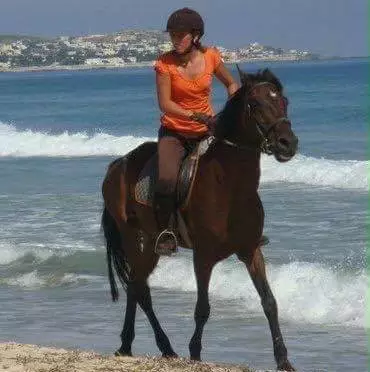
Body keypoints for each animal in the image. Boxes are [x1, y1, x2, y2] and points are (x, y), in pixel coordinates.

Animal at [102, 65, 300, 370]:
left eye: (284, 101)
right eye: (255, 104)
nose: (288, 143)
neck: (231, 187)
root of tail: (117, 165)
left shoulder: (251, 250)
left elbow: (269, 301)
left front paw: (283, 359)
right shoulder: (203, 256)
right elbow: (202, 308)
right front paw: (195, 354)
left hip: (147, 245)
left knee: (136, 287)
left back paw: (130, 345)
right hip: (135, 239)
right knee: (140, 288)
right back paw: (162, 346)